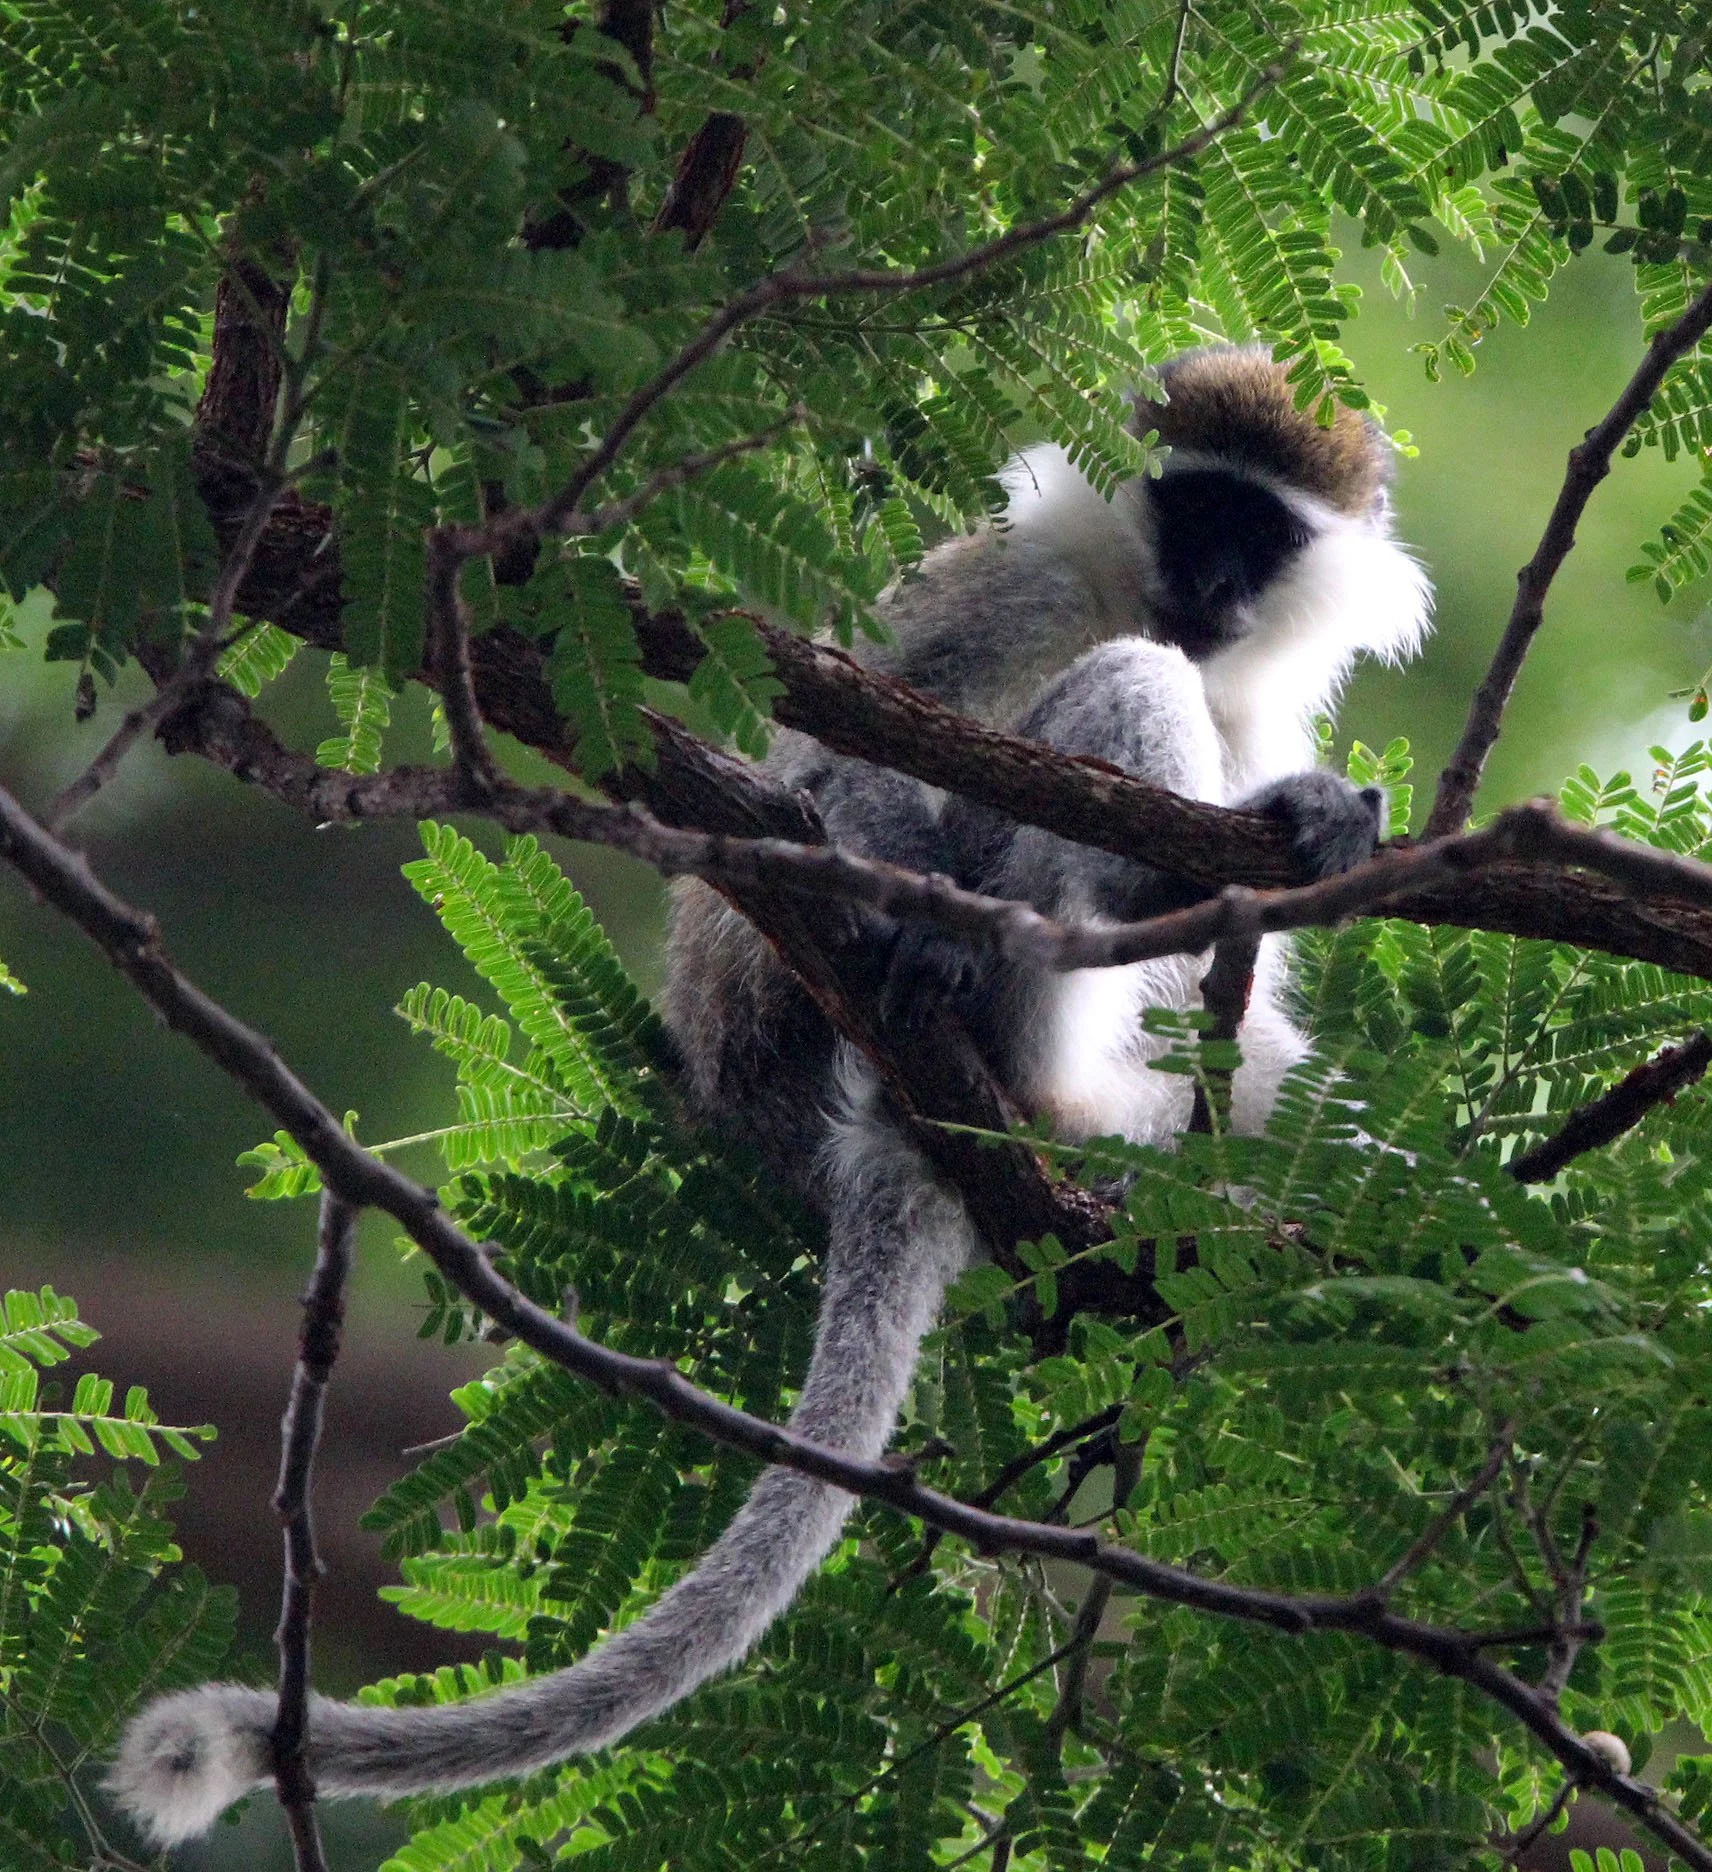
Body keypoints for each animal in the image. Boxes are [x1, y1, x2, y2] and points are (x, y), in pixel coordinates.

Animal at [110, 345, 1431, 1846]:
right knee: (1115, 707)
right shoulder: (1014, 578)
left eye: (1256, 534)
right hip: (1011, 1005)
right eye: (1190, 504)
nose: (1206, 584)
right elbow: (833, 763)